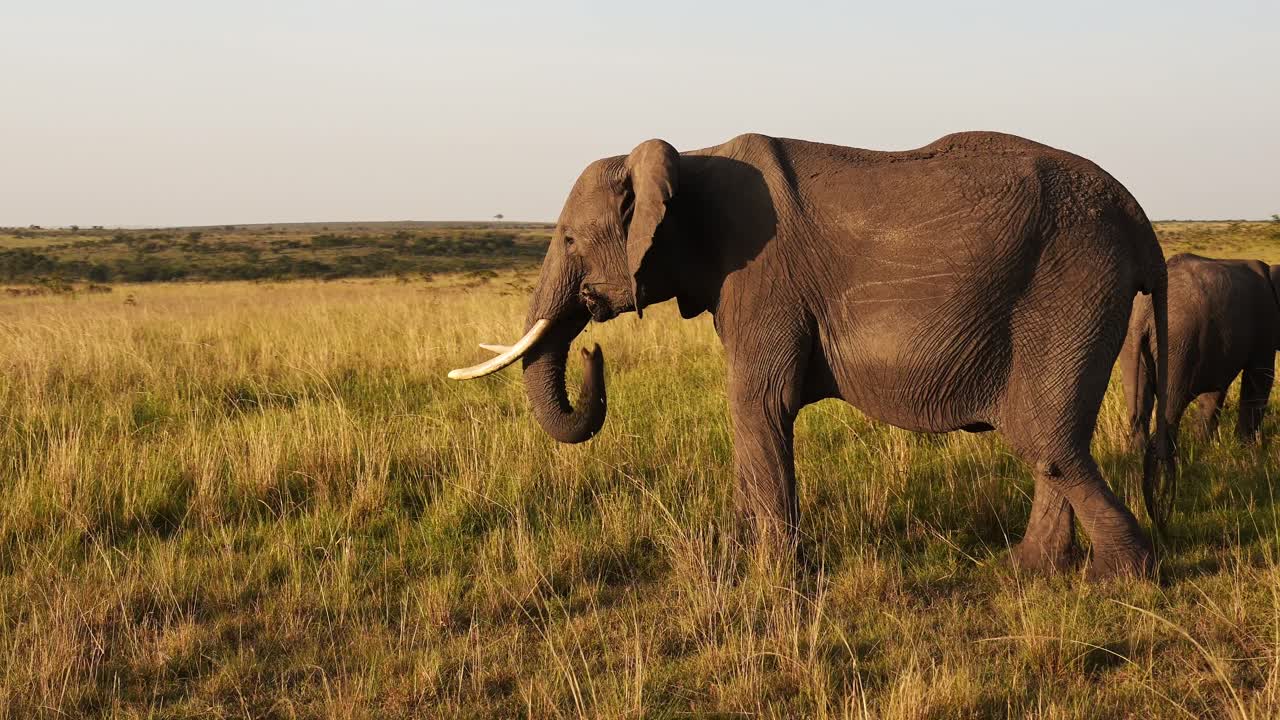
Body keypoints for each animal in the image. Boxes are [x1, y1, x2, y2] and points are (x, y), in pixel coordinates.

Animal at [449, 131, 1174, 580]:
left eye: (570, 240)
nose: (593, 349)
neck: (689, 158)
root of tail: (1141, 221)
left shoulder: (764, 277)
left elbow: (757, 405)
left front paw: (775, 581)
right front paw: (740, 562)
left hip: (1072, 284)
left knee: (1046, 438)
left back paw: (1120, 579)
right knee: (1053, 442)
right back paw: (1032, 571)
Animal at [1122, 253, 1280, 459]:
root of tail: (1143, 310)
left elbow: (1214, 391)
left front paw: (1205, 446)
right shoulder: (1265, 322)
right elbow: (1260, 379)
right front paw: (1247, 449)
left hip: (1132, 340)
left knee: (1140, 399)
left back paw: (1137, 456)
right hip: (1177, 341)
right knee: (1171, 402)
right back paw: (1167, 459)